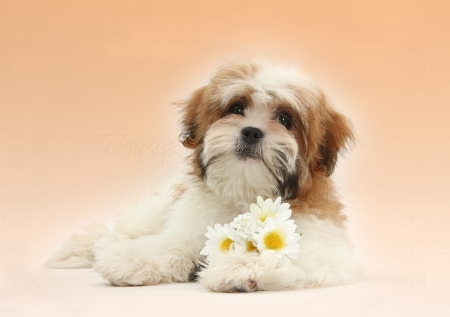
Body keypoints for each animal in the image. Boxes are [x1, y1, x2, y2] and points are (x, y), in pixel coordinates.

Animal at [47, 59, 358, 292]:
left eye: (285, 119)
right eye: (236, 108)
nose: (251, 131)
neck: (247, 192)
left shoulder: (327, 250)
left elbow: (282, 255)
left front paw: (236, 268)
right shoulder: (192, 224)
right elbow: (173, 243)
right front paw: (132, 258)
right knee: (121, 231)